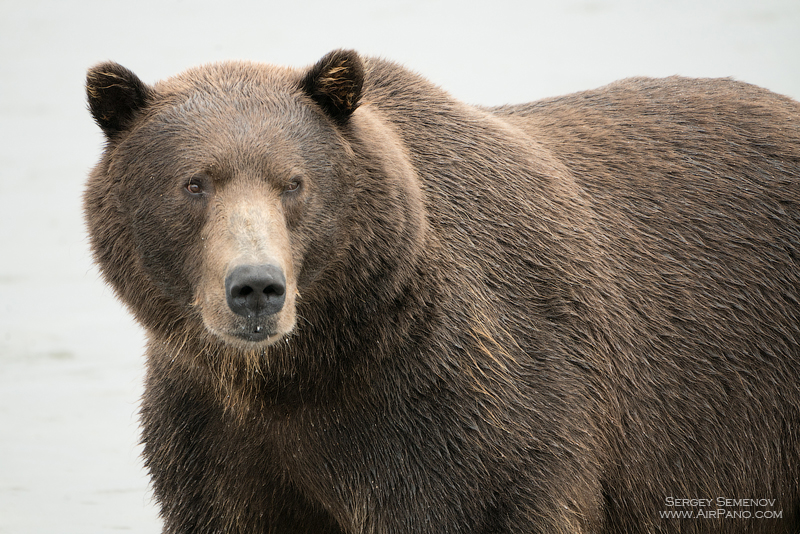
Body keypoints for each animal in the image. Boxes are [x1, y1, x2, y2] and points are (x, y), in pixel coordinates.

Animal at [84, 49, 800, 532]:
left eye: (293, 182)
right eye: (194, 183)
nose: (257, 288)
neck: (305, 370)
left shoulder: (460, 415)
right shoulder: (213, 438)